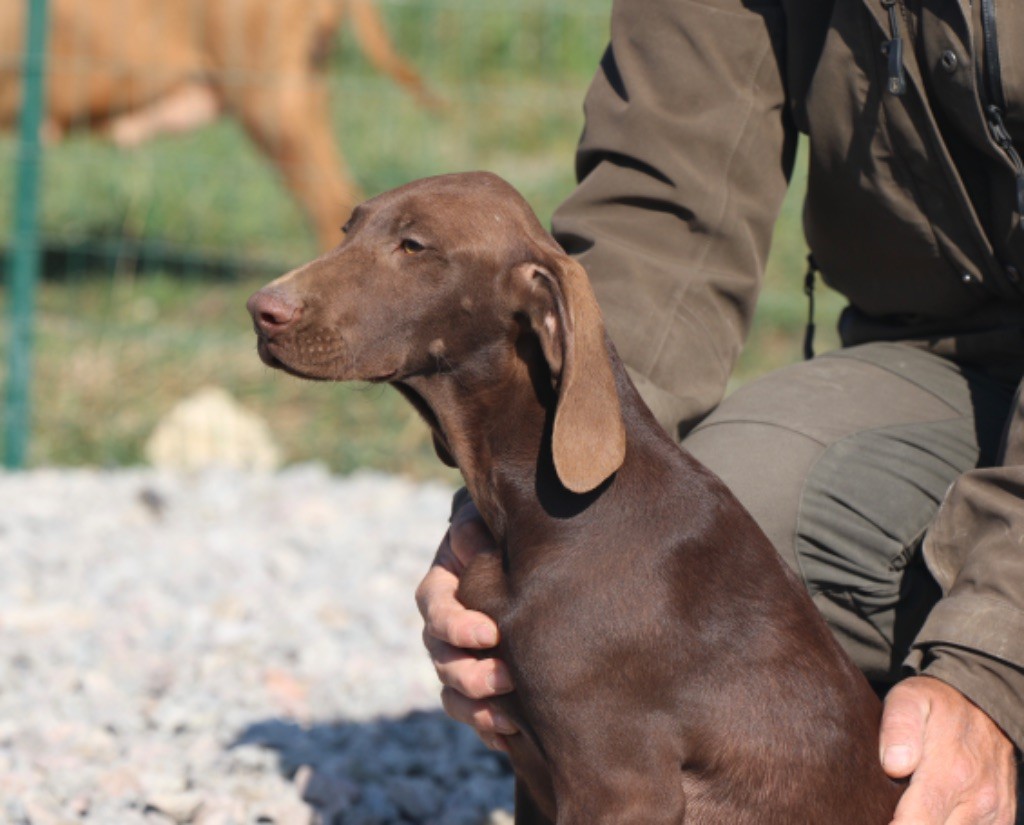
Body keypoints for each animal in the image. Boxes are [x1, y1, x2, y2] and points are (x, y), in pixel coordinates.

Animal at [247, 170, 905, 822]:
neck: (549, 513)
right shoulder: (533, 772)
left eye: (414, 246)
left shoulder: (620, 783)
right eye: (347, 229)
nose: (261, 311)